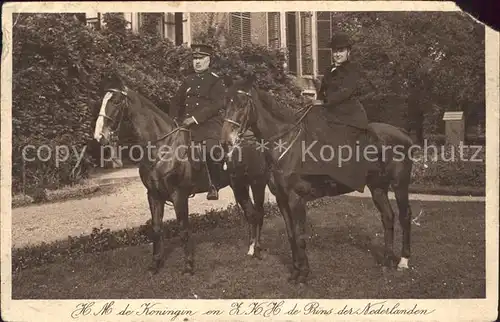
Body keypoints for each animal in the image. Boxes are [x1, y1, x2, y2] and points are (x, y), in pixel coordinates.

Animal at [90, 73, 270, 274]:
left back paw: (257, 249)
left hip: (256, 183)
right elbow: (156, 229)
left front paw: (188, 266)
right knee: (251, 213)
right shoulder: (153, 195)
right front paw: (155, 264)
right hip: (239, 186)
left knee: (257, 213)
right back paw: (251, 248)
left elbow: (183, 230)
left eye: (115, 100)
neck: (163, 146)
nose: (99, 135)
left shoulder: (179, 195)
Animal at [222, 78, 414, 284]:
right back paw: (387, 260)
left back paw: (403, 261)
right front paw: (295, 272)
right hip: (378, 187)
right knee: (388, 217)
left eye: (242, 104)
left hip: (400, 185)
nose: (226, 140)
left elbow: (299, 236)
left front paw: (303, 274)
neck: (285, 144)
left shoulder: (296, 199)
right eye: (226, 104)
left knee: (405, 216)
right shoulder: (281, 199)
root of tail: (402, 133)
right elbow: (291, 235)